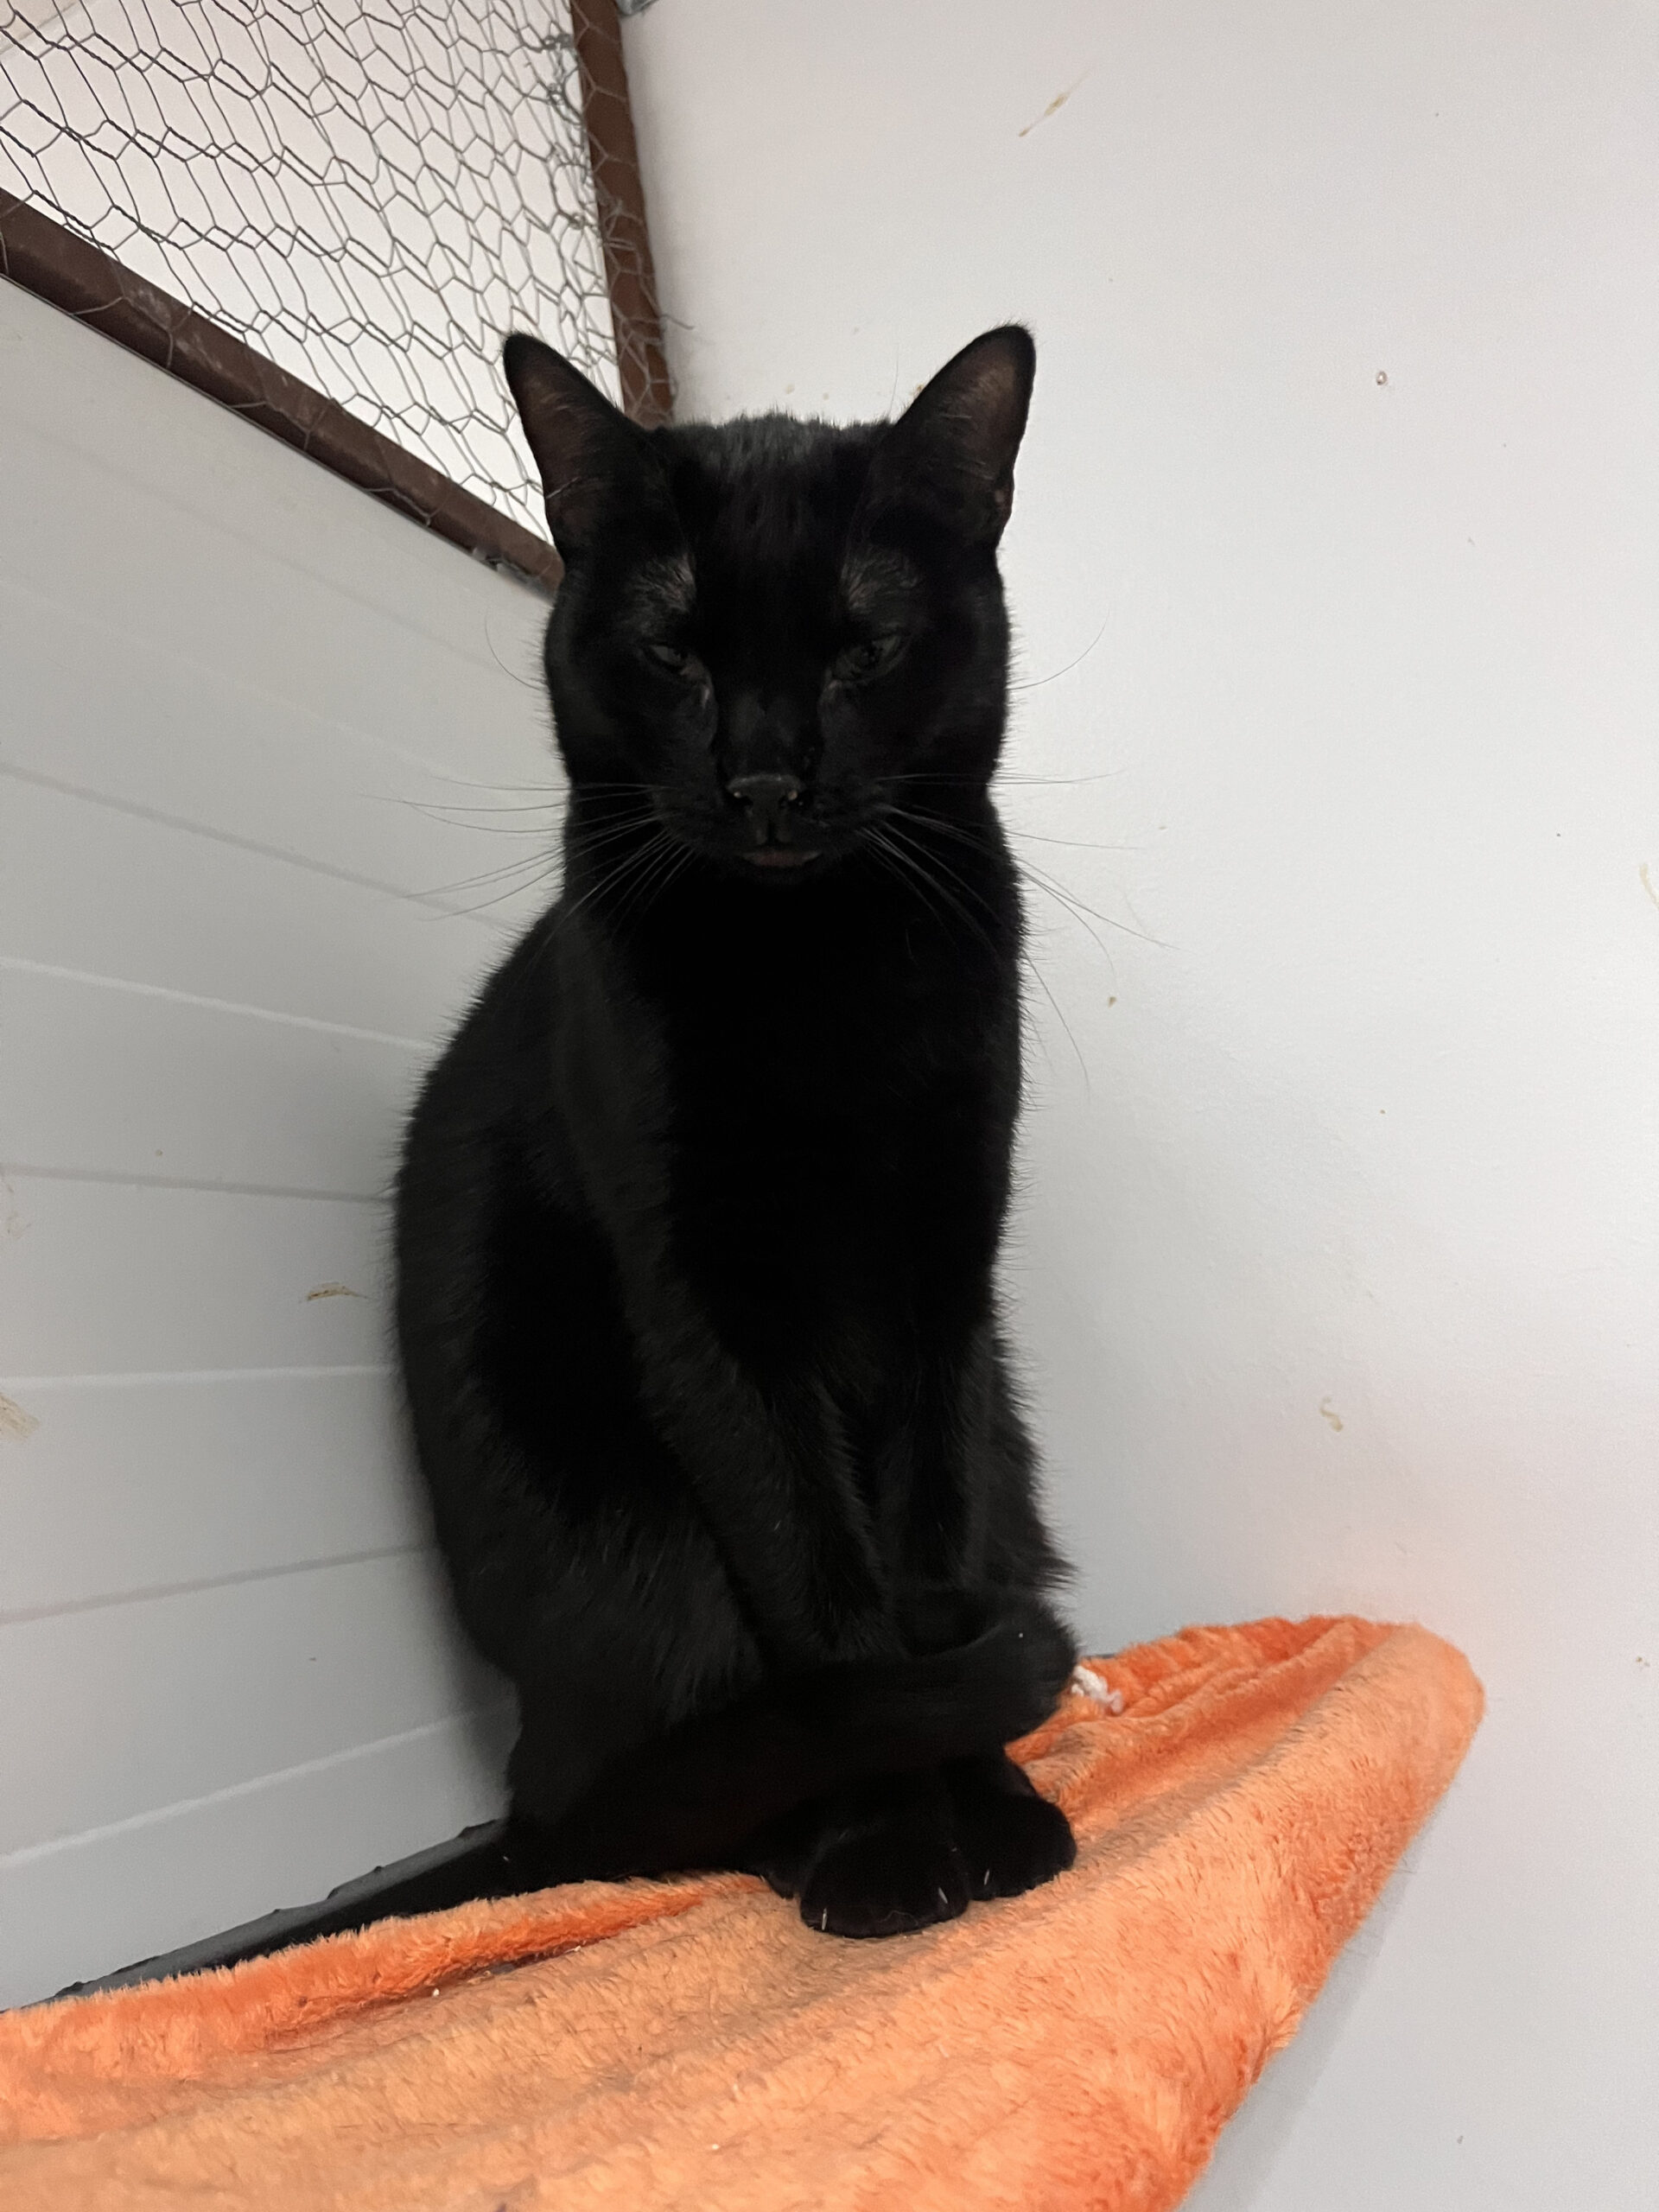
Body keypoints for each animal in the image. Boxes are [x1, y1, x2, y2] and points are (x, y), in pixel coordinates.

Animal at [385, 325, 1079, 1942]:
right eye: (676, 651)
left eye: (862, 648)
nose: (766, 777)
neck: (820, 977)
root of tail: (524, 1779)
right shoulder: (714, 1314)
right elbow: (832, 1608)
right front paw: (893, 1849)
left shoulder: (945, 1283)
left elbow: (936, 1564)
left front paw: (990, 1816)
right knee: (653, 1803)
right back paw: (794, 1834)